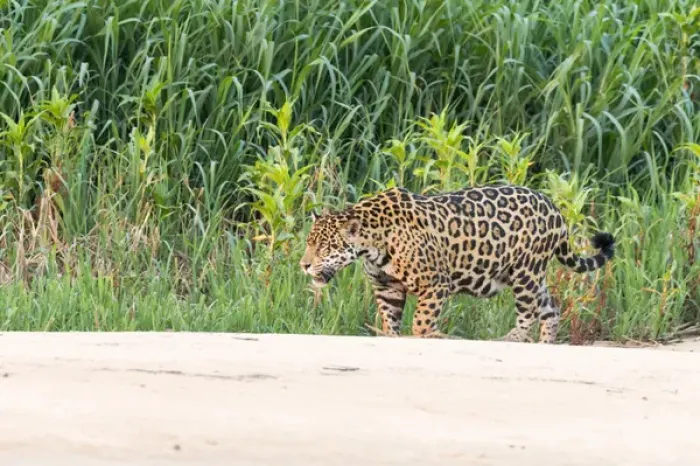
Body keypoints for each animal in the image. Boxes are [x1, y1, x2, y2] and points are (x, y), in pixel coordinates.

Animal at [299, 185, 615, 343]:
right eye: (308, 243)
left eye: (324, 247)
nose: (304, 266)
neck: (373, 243)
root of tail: (554, 208)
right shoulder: (387, 287)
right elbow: (390, 318)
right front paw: (391, 336)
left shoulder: (434, 283)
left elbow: (421, 320)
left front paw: (426, 336)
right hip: (531, 275)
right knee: (551, 307)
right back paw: (544, 344)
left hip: (526, 271)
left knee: (529, 311)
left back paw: (510, 339)